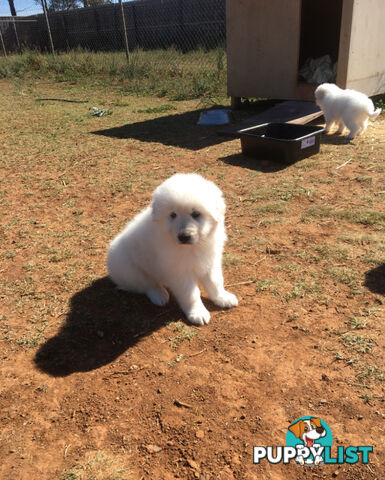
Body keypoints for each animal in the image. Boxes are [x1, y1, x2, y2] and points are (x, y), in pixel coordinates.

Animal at [106, 172, 237, 326]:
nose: (184, 236)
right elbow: (191, 294)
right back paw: (159, 295)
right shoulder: (179, 272)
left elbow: (215, 282)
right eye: (173, 215)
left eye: (196, 214)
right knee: (146, 285)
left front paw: (223, 298)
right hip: (129, 269)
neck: (193, 247)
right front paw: (198, 313)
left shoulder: (210, 261)